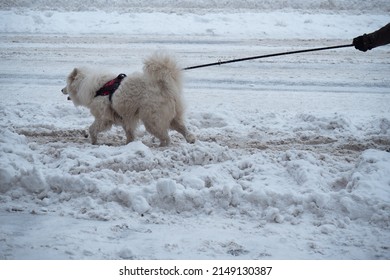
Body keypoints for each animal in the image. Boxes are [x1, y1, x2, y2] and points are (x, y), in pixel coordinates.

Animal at [63, 52, 195, 147]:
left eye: (66, 84)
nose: (61, 90)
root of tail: (164, 87)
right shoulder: (125, 117)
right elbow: (129, 132)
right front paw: (129, 143)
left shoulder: (103, 117)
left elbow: (92, 129)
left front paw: (94, 141)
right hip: (171, 116)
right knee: (182, 128)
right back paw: (191, 139)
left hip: (151, 119)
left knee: (166, 137)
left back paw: (162, 145)